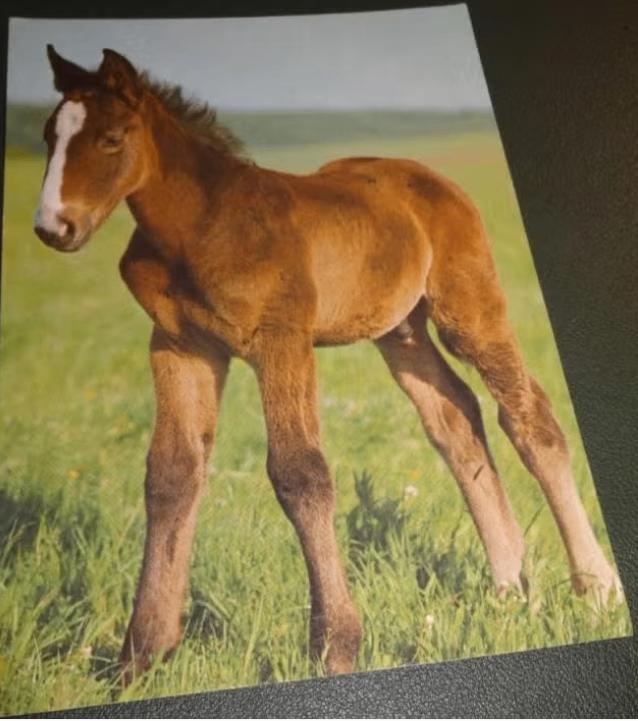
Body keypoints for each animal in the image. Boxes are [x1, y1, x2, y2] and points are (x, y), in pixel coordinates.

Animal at [34, 45, 622, 681]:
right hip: (400, 333)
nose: (54, 226)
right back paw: (509, 590)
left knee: (528, 417)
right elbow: (171, 474)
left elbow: (300, 473)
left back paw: (596, 588)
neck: (202, 227)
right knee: (455, 420)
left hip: (467, 306)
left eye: (112, 139)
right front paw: (142, 656)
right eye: (49, 136)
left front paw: (335, 646)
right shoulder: (180, 345)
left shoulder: (281, 339)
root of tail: (433, 179)